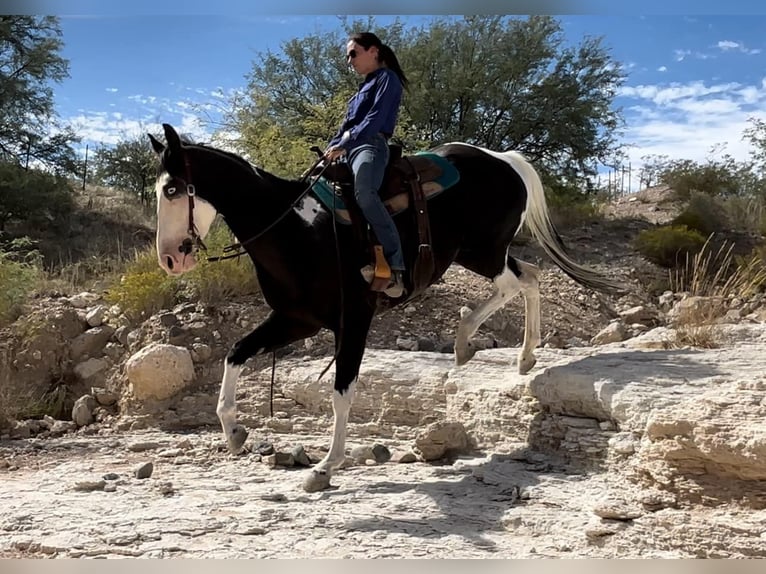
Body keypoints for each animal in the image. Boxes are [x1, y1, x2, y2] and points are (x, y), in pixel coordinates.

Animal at [148, 122, 621, 492]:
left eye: (172, 189)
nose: (169, 259)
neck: (298, 231)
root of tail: (505, 159)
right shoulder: (296, 321)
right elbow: (235, 354)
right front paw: (234, 431)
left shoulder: (353, 319)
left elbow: (341, 392)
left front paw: (326, 466)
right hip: (480, 252)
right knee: (531, 277)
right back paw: (519, 356)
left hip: (482, 251)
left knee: (515, 283)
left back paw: (468, 339)